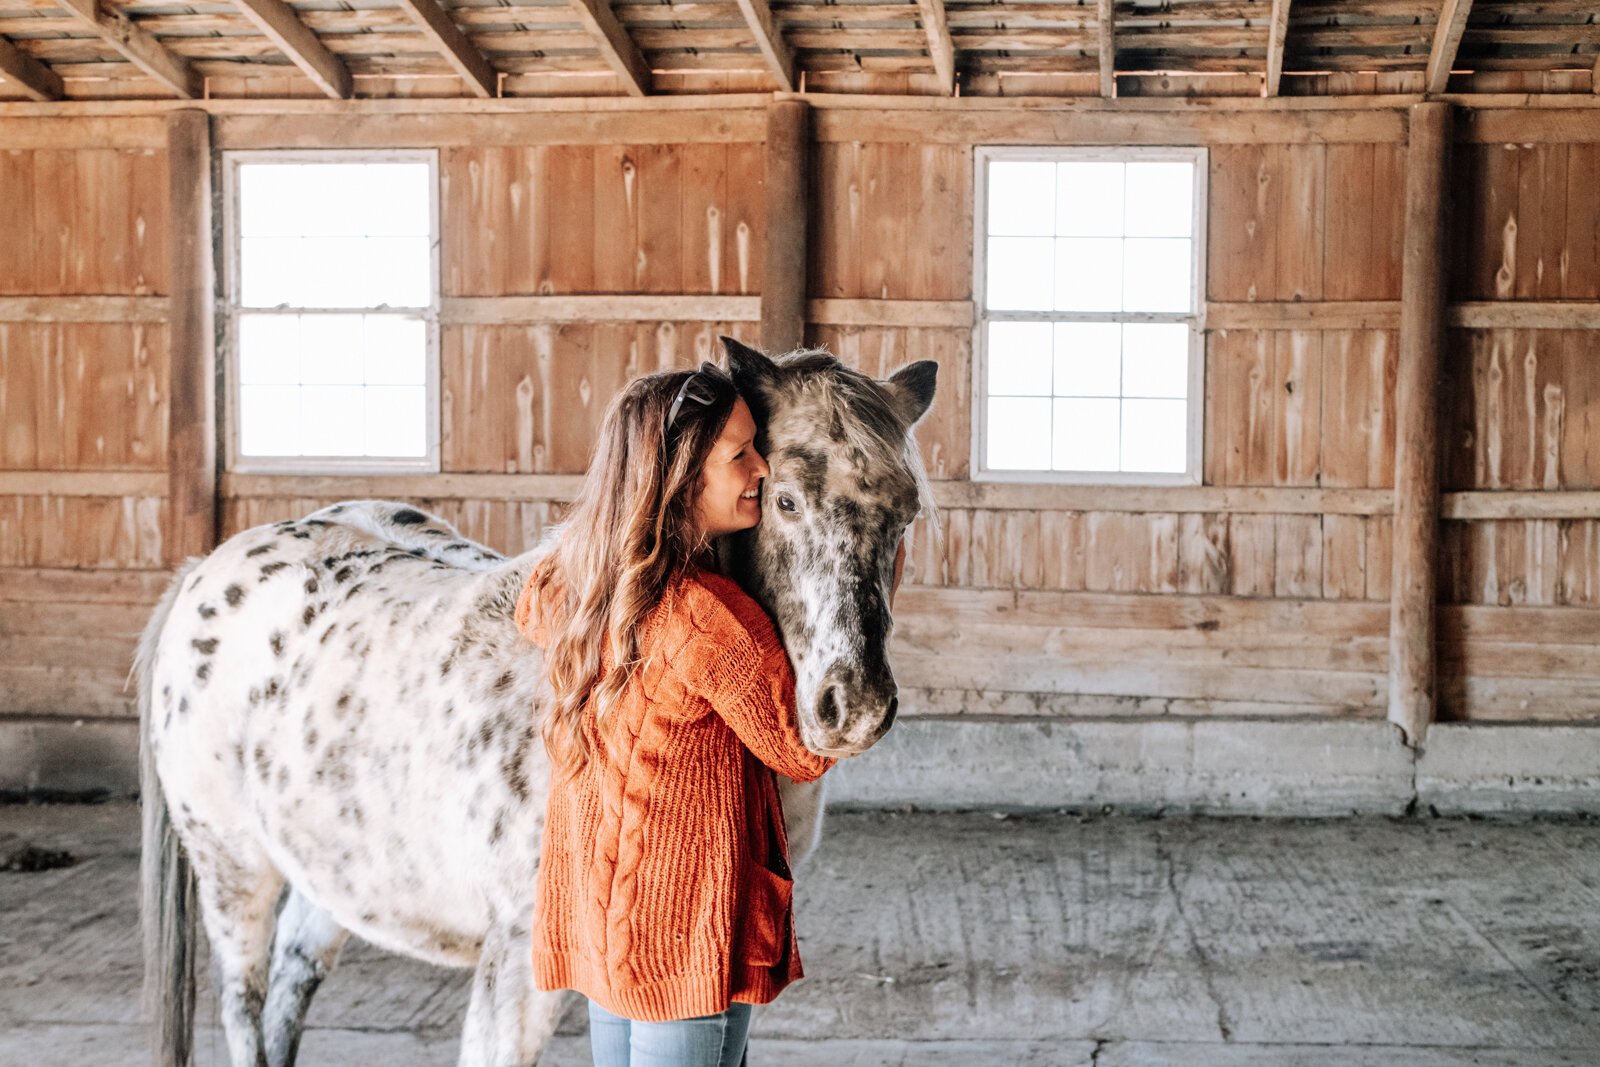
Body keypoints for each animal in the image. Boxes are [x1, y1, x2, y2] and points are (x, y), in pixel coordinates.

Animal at [137, 337, 940, 1062]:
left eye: (904, 515)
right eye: (783, 499)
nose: (853, 706)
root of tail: (205, 570)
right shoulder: (521, 968)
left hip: (329, 872)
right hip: (234, 868)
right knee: (245, 1007)